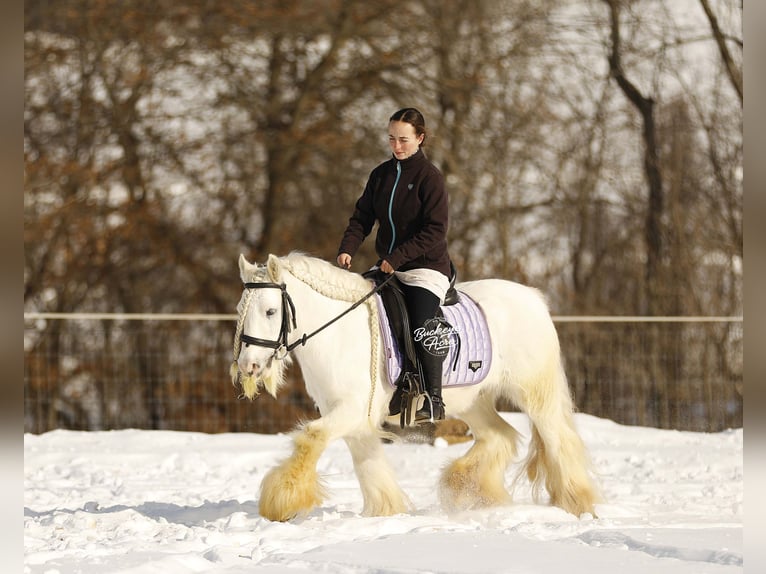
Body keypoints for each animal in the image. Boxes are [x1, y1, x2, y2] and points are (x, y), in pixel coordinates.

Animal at [230, 252, 600, 522]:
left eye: (270, 311)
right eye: (240, 310)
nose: (249, 365)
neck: (339, 332)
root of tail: (534, 298)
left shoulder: (351, 411)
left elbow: (309, 438)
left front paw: (281, 500)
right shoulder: (355, 419)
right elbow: (369, 466)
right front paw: (386, 512)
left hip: (535, 394)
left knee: (559, 440)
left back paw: (578, 503)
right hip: (472, 401)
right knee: (501, 436)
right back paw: (467, 488)